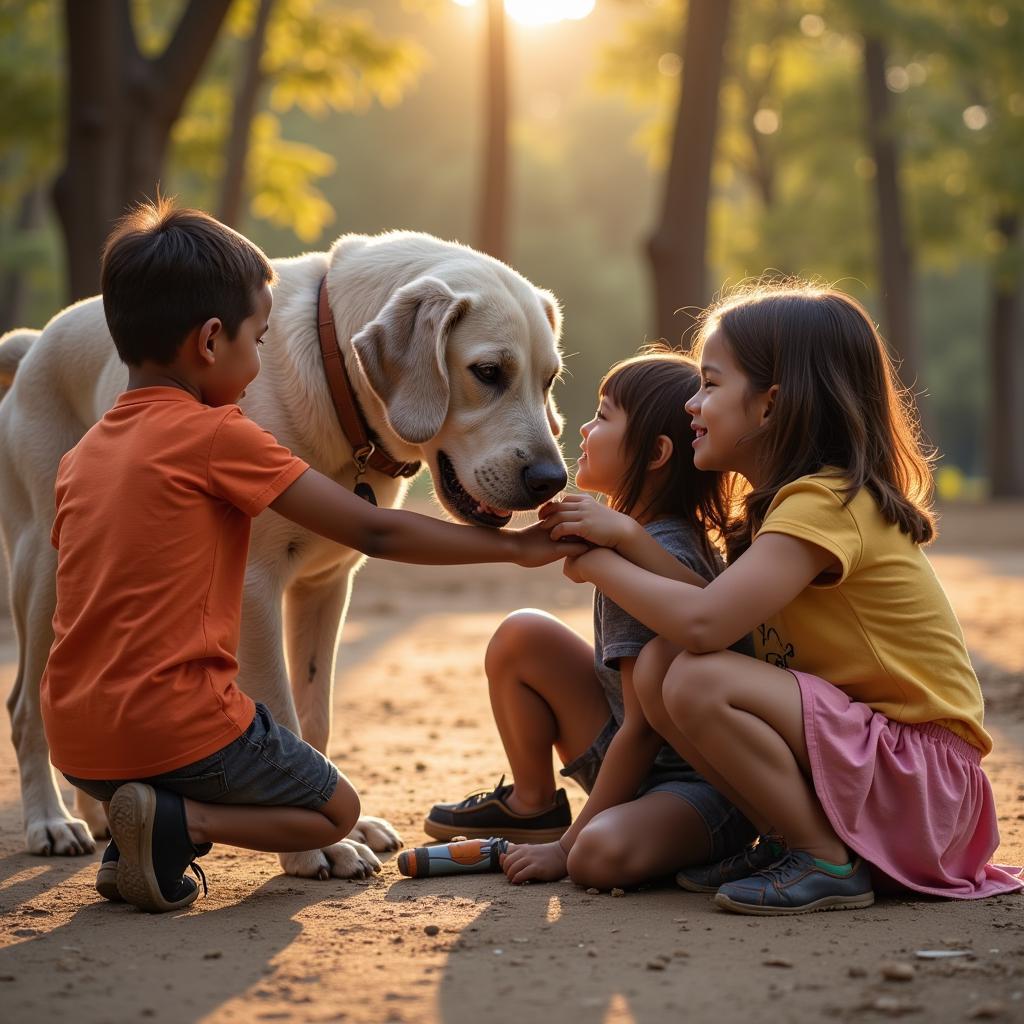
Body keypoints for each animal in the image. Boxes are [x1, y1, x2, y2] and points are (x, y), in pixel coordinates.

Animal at [0, 232, 569, 880]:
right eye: (488, 372)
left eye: (549, 379)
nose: (552, 480)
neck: (333, 369)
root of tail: (35, 344)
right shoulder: (255, 589)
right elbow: (283, 707)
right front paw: (312, 850)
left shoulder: (326, 588)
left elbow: (316, 716)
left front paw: (344, 830)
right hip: (43, 573)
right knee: (27, 706)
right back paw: (51, 821)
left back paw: (101, 814)